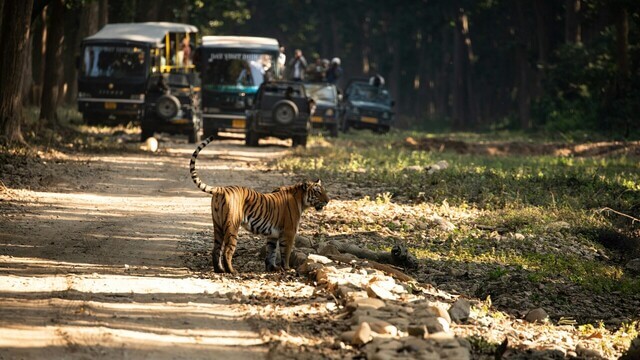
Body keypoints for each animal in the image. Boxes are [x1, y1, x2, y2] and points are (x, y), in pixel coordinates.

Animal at [190, 136, 330, 274]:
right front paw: (287, 269)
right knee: (227, 250)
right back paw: (232, 271)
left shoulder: (273, 235)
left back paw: (219, 270)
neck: (301, 200)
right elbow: (286, 252)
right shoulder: (289, 232)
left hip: (217, 225)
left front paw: (272, 268)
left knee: (216, 249)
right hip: (232, 226)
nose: (328, 200)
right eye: (318, 192)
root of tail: (221, 189)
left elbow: (271, 252)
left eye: (324, 190)